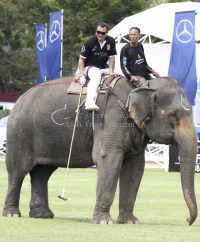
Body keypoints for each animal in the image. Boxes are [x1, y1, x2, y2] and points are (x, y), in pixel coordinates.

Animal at [2, 76, 198, 225]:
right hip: (19, 133)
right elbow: (107, 158)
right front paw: (104, 222)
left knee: (42, 173)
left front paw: (130, 222)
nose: (187, 220)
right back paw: (12, 214)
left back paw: (43, 216)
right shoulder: (111, 118)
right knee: (18, 172)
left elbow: (135, 168)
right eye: (174, 115)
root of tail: (18, 100)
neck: (143, 86)